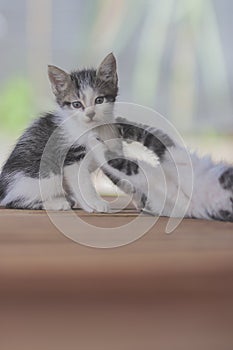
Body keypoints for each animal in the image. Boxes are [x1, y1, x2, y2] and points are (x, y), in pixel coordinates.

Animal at [0, 52, 121, 211]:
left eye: (99, 100)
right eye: (76, 104)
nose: (90, 114)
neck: (92, 128)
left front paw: (88, 205)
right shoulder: (72, 157)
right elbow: (83, 183)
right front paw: (96, 202)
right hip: (43, 176)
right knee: (12, 201)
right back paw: (57, 203)